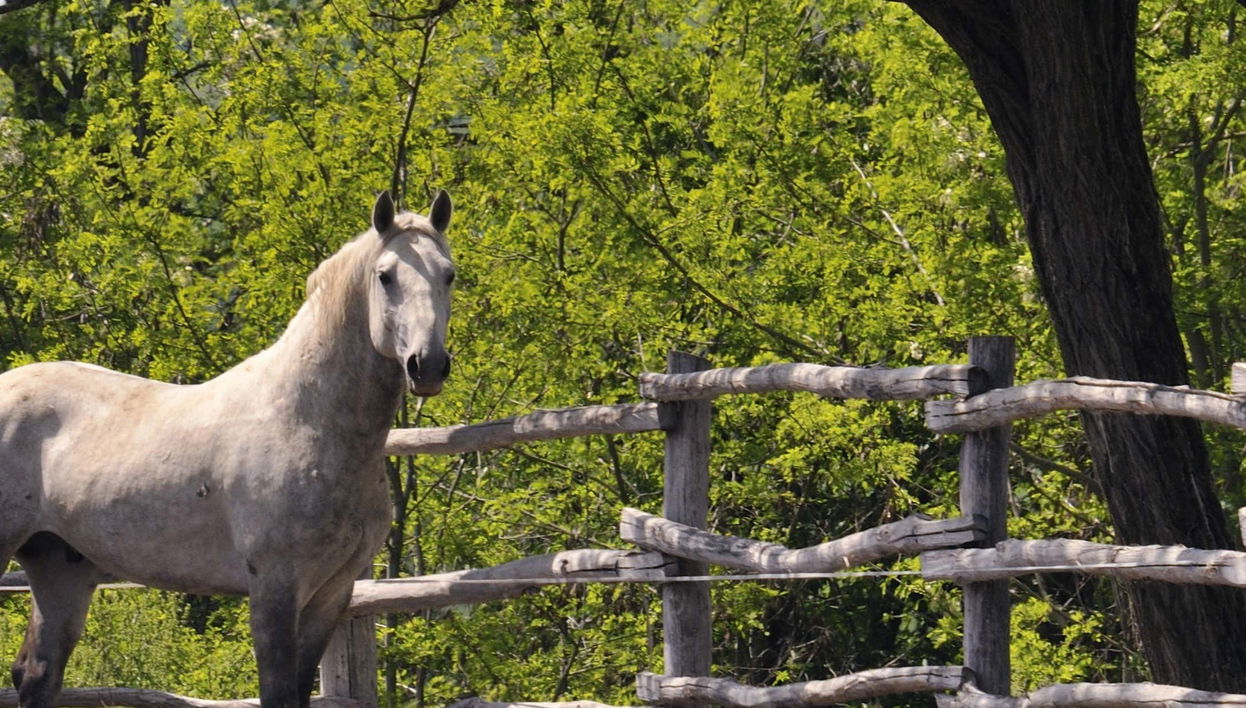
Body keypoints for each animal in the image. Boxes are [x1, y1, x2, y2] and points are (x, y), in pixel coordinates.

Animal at [0, 189, 454, 708]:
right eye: (385, 276)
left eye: (449, 274)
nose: (427, 365)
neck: (308, 420)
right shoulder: (275, 586)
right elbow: (276, 692)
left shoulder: (333, 591)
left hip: (61, 569)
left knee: (37, 674)